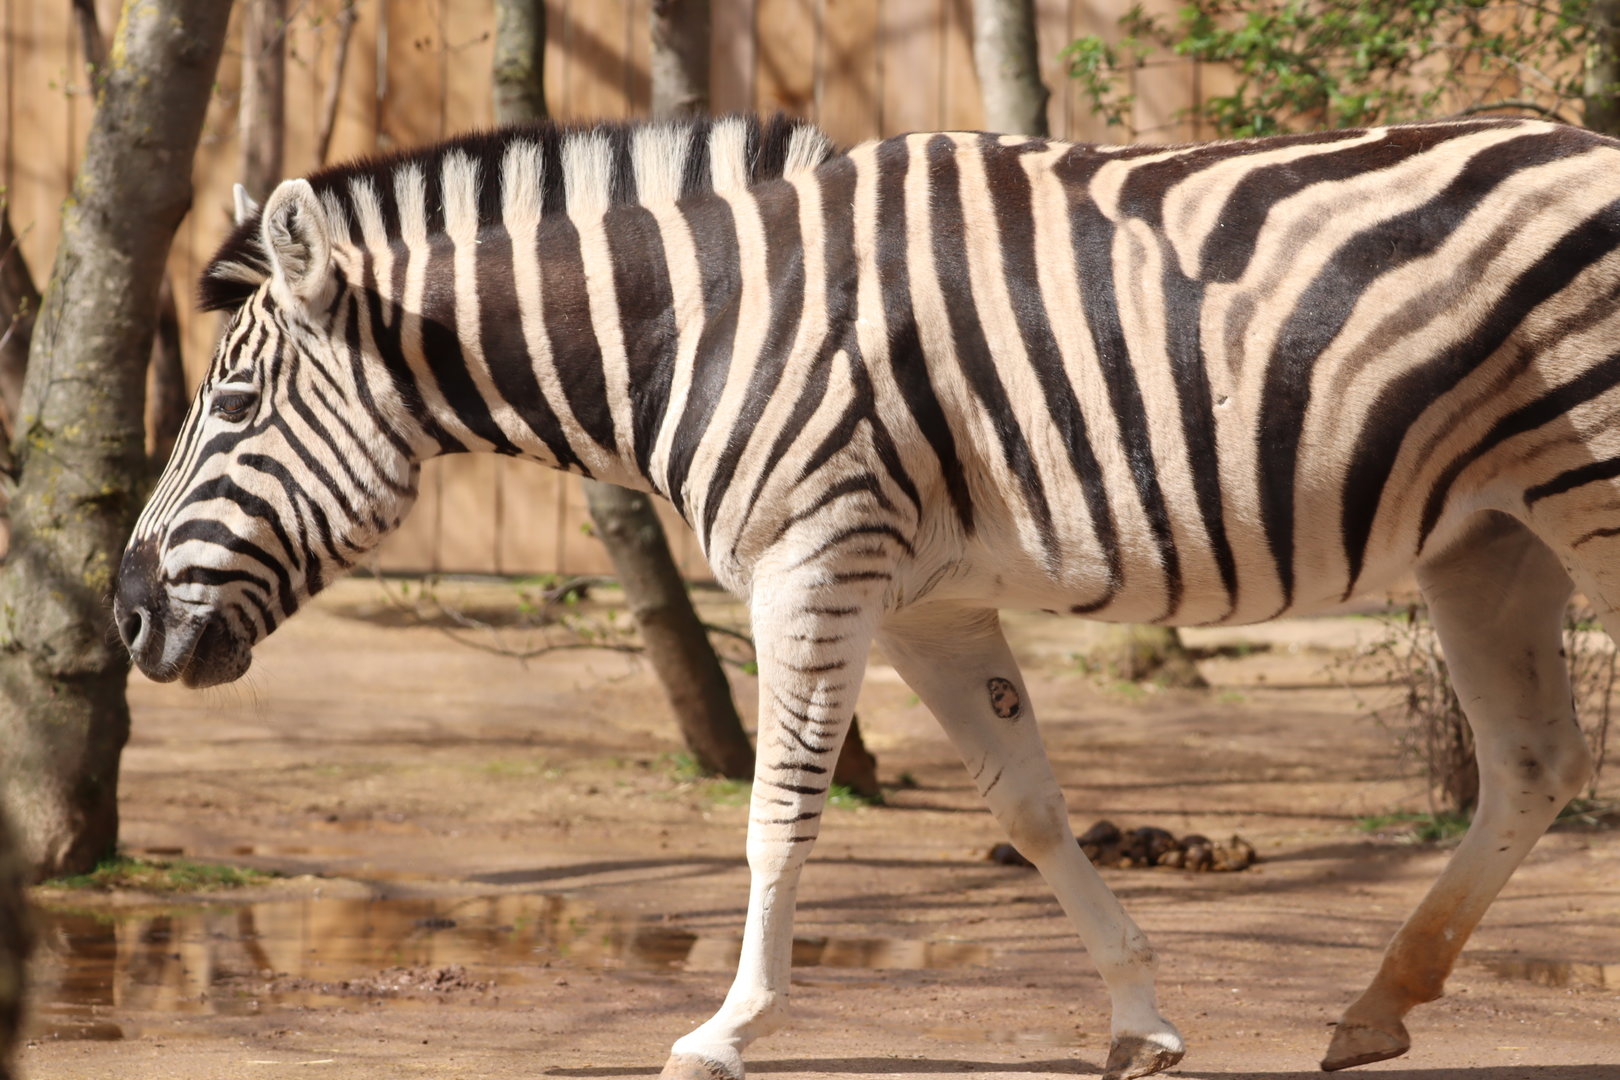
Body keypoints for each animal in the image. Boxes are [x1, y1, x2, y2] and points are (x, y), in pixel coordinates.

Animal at [113, 113, 1619, 1079]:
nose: (125, 616)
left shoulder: (815, 561)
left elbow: (779, 814)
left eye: (230, 408)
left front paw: (726, 1030)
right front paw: (1139, 1018)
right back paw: (1374, 1009)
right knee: (1535, 764)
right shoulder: (924, 599)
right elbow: (1027, 802)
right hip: (1488, 536)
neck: (704, 327)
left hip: (1587, 492)